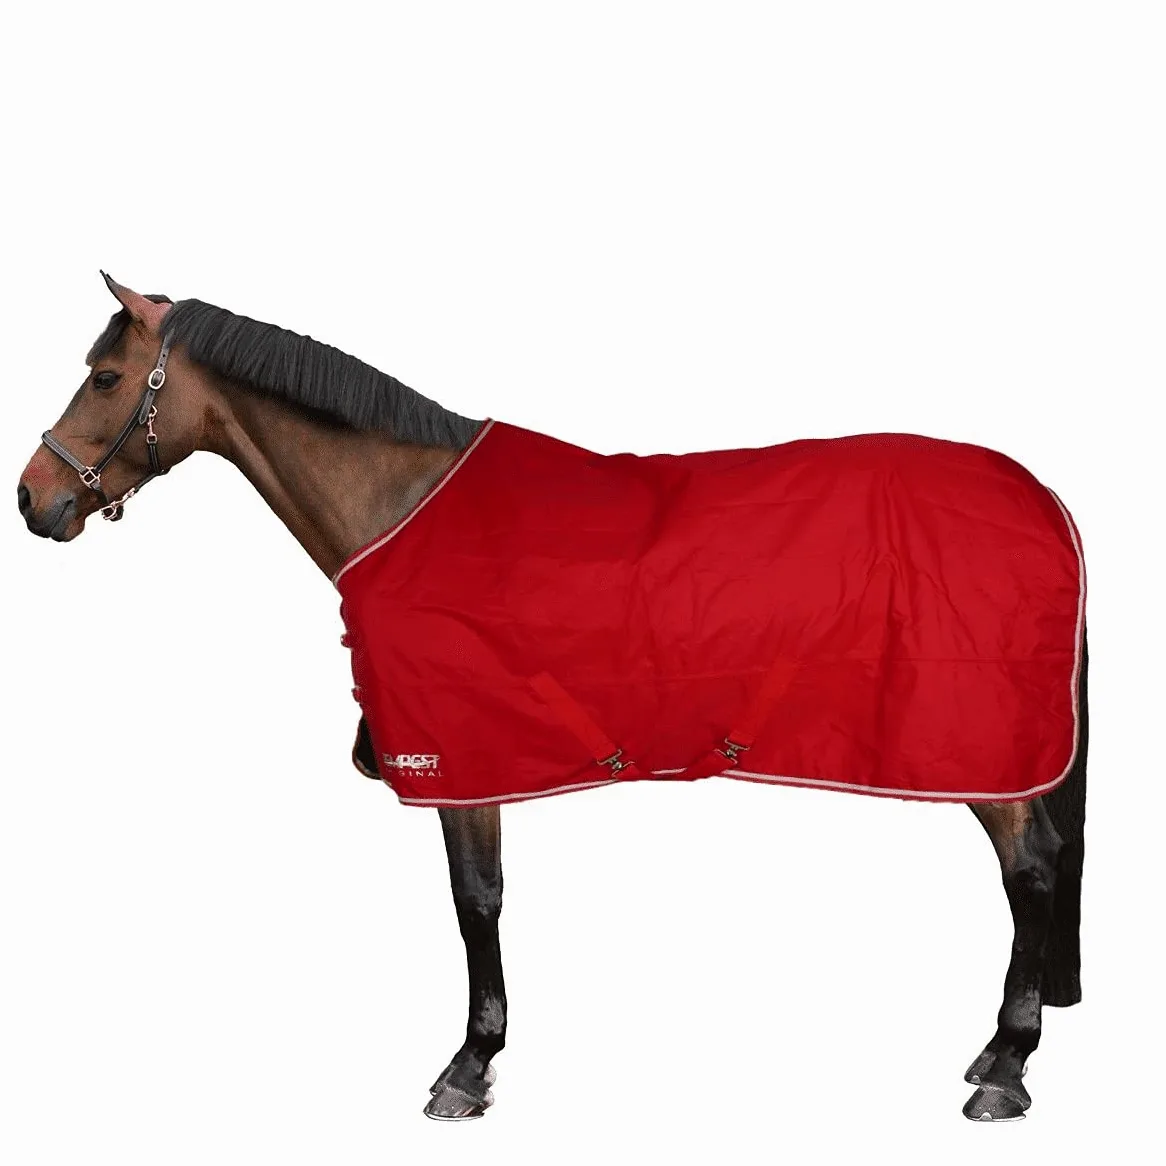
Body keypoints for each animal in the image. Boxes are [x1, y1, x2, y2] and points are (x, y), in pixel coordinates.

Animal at [17, 274, 1087, 1123]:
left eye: (105, 378)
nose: (32, 499)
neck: (404, 505)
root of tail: (1042, 500)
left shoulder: (462, 759)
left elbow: (475, 902)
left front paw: (468, 1066)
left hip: (978, 748)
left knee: (1031, 870)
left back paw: (1006, 1068)